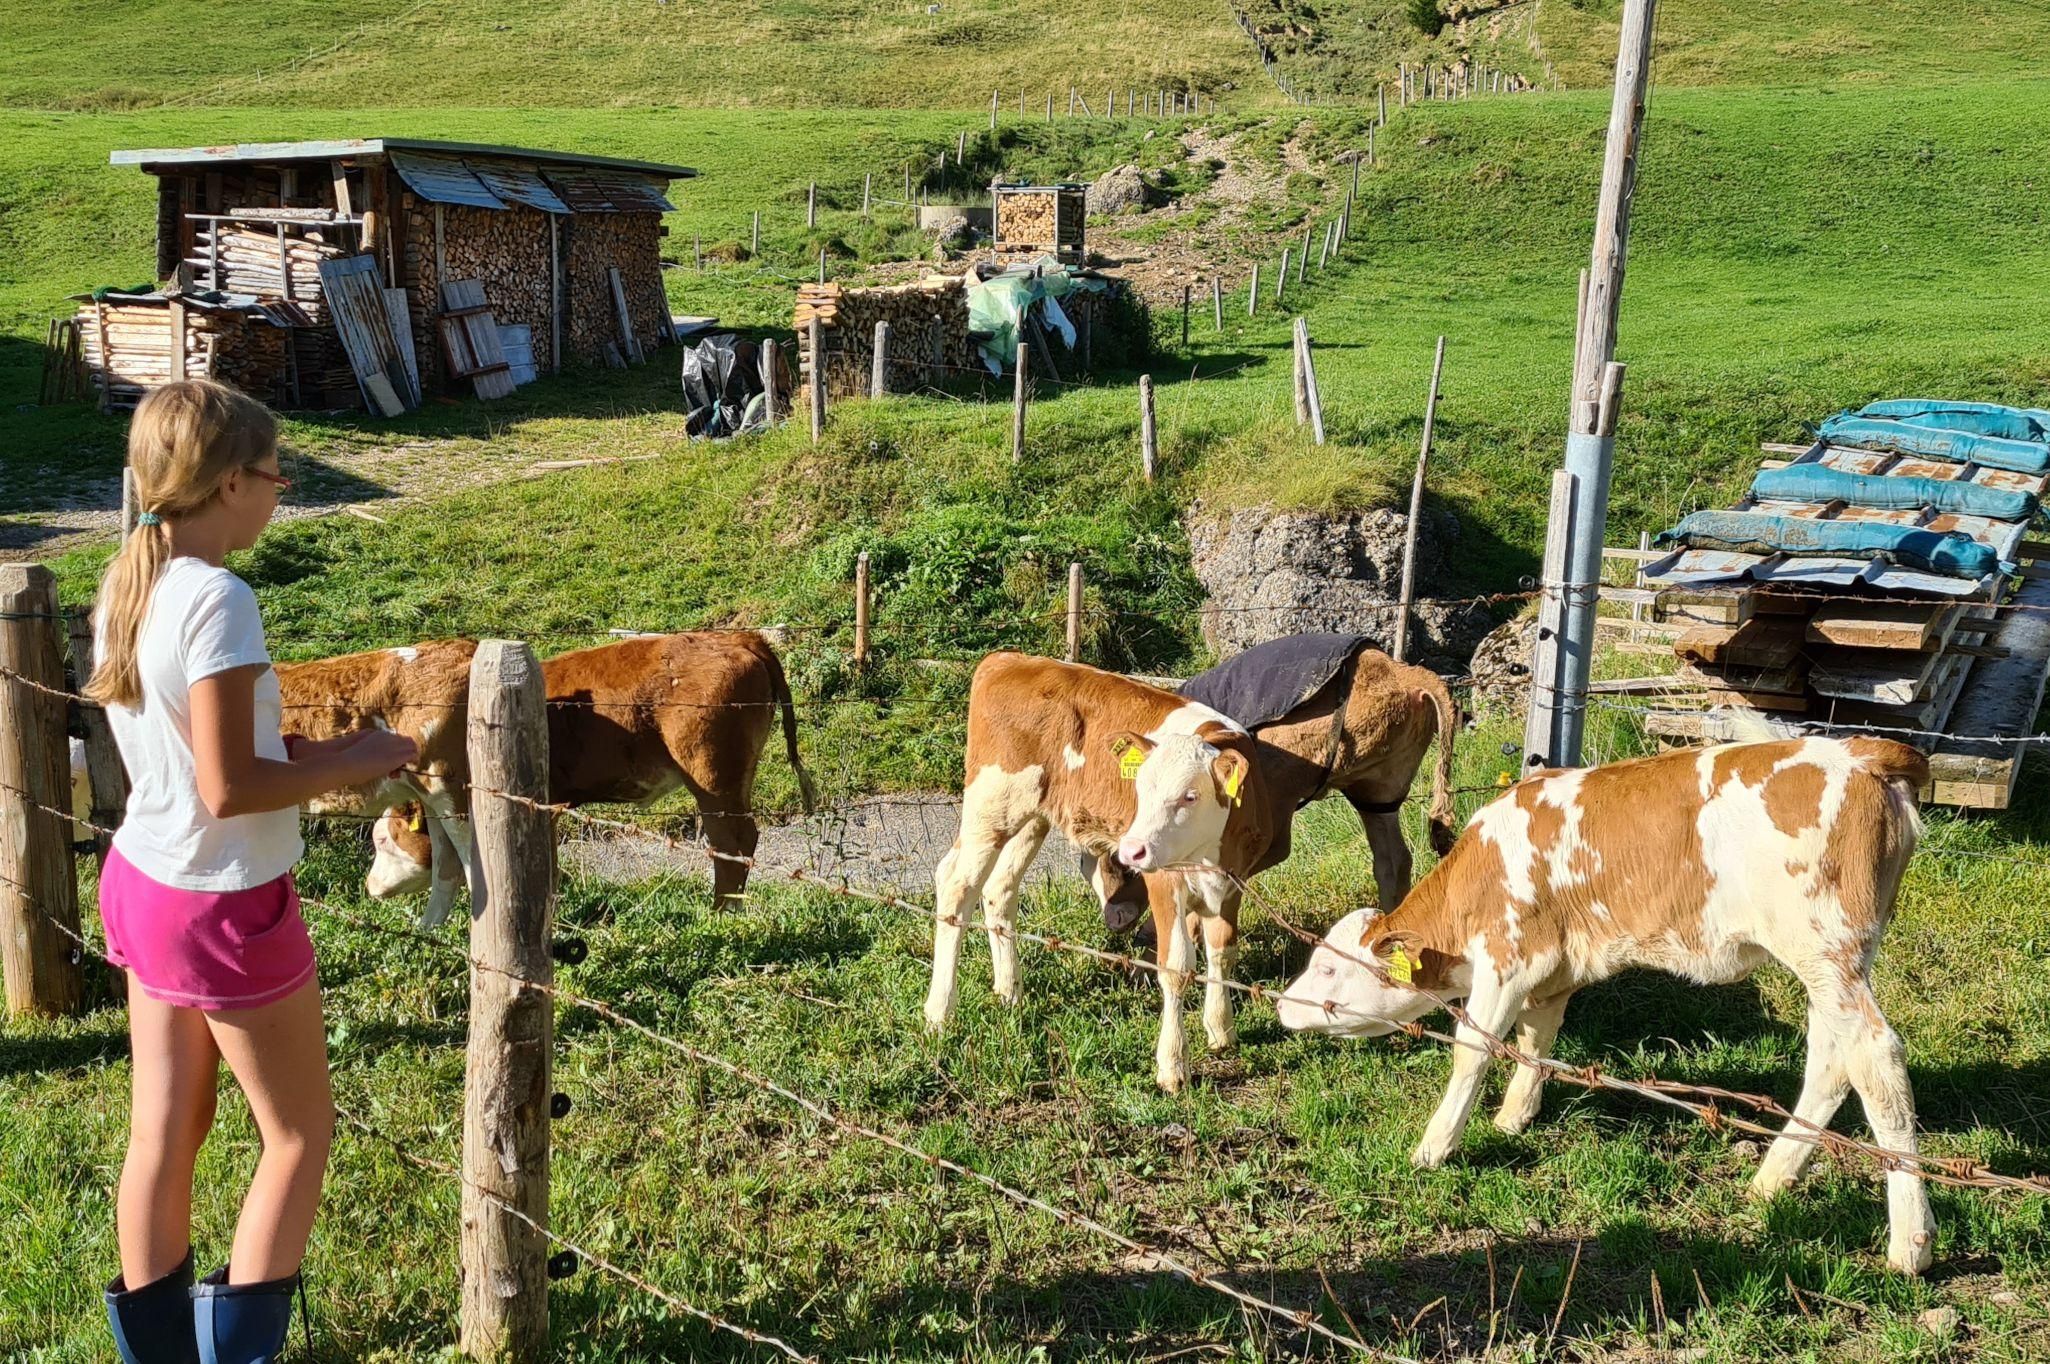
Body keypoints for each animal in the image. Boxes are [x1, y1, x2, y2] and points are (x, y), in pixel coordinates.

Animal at [280, 631, 807, 918]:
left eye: (383, 840)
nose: (368, 888)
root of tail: (734, 636)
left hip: (714, 776)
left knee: (733, 842)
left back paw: (721, 914)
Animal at [922, 656, 1271, 1091]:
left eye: (1191, 795)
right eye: (1139, 788)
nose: (1133, 849)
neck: (1207, 853)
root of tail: (1009, 658)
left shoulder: (1234, 881)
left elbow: (1223, 951)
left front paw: (1221, 1030)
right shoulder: (1164, 880)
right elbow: (1176, 966)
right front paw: (1173, 1066)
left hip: (1034, 816)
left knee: (999, 888)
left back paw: (1009, 992)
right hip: (991, 806)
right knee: (957, 885)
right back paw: (940, 1011)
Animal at [1279, 738, 1935, 1271]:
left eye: (1330, 967)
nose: (1283, 1006)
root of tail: (1861, 751)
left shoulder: (1507, 957)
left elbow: (1473, 1052)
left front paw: (1434, 1147)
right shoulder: (1550, 969)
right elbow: (1535, 1041)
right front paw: (1514, 1116)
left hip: (1824, 947)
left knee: (1876, 1058)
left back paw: (1911, 1243)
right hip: (1834, 964)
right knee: (1831, 1059)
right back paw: (1772, 1178)